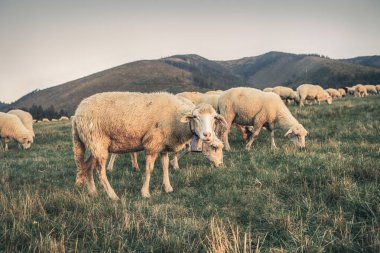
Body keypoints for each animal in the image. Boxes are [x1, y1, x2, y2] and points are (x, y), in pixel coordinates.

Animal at [72, 91, 227, 200]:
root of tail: (77, 112)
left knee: (87, 166)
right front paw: (145, 192)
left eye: (214, 118)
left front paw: (168, 187)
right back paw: (112, 195)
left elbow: (165, 166)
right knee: (100, 171)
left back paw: (93, 192)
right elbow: (149, 169)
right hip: (97, 140)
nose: (207, 135)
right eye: (195, 117)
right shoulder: (153, 144)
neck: (177, 121)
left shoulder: (163, 145)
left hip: (95, 144)